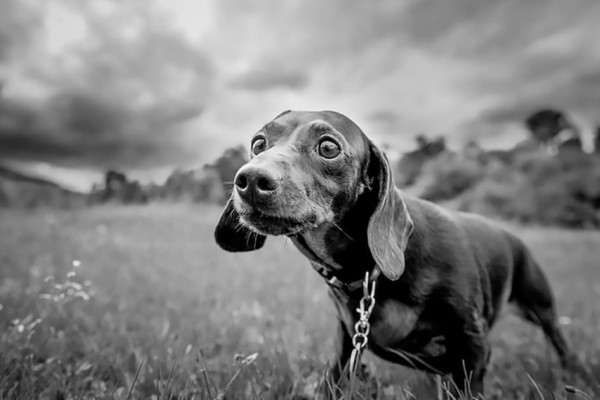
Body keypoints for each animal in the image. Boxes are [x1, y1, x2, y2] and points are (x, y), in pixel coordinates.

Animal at [214, 110, 576, 396]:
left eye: (328, 147)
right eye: (258, 143)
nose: (249, 179)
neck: (370, 274)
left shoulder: (473, 346)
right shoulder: (345, 342)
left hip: (542, 307)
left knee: (562, 346)